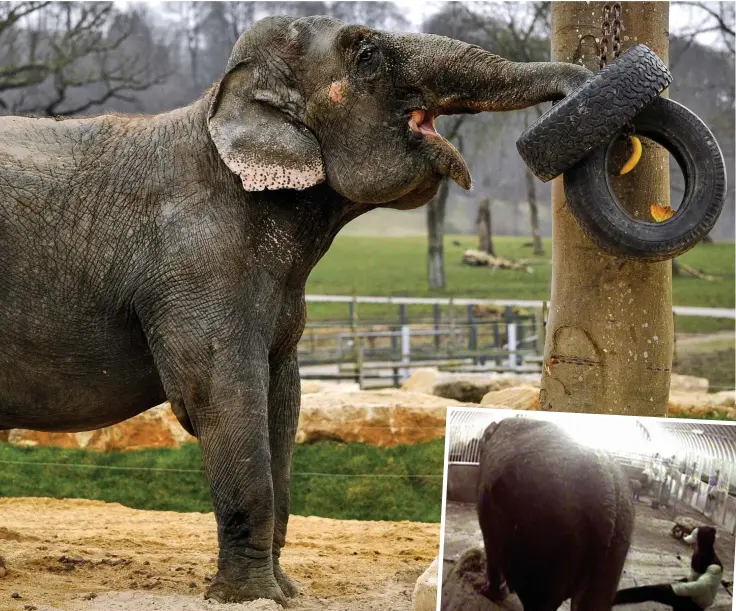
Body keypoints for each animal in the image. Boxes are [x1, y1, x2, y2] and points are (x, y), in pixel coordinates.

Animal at [0, 15, 588, 608]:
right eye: (367, 55)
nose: (582, 86)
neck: (219, 103)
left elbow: (284, 399)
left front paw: (285, 593)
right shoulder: (195, 265)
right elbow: (223, 396)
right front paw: (250, 596)